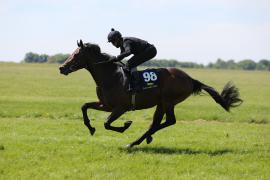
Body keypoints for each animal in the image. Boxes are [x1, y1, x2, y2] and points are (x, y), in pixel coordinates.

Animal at [59, 39, 243, 148]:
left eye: (76, 54)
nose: (61, 68)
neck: (111, 76)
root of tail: (190, 79)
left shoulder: (121, 107)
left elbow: (107, 123)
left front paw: (126, 125)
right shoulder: (106, 105)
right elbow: (84, 107)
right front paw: (91, 128)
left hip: (168, 101)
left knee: (169, 121)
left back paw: (136, 141)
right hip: (161, 103)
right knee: (157, 123)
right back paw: (143, 139)